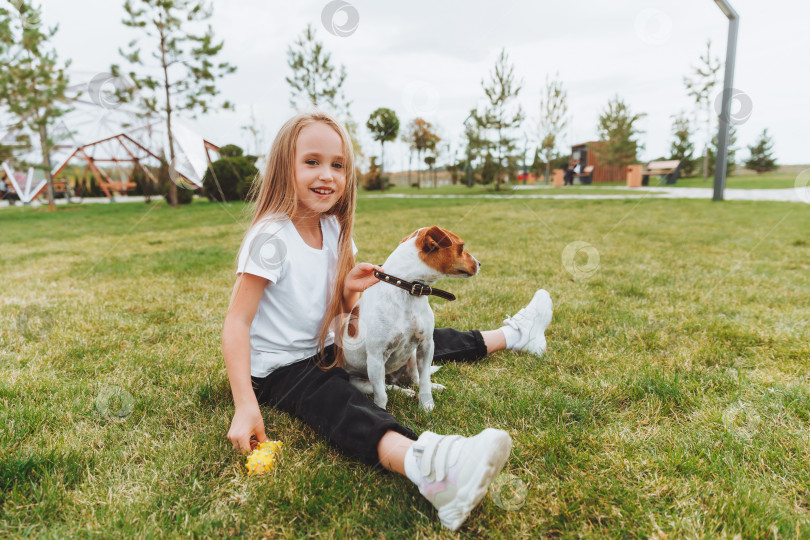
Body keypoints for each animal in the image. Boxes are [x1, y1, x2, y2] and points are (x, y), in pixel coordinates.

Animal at [338, 226, 476, 412]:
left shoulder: (426, 345)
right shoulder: (376, 358)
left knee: (415, 379)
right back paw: (403, 392)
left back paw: (433, 387)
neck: (409, 289)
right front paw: (381, 411)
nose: (479, 264)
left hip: (412, 356)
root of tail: (394, 376)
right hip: (362, 382)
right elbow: (381, 395)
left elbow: (424, 381)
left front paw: (426, 405)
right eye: (461, 247)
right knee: (389, 387)